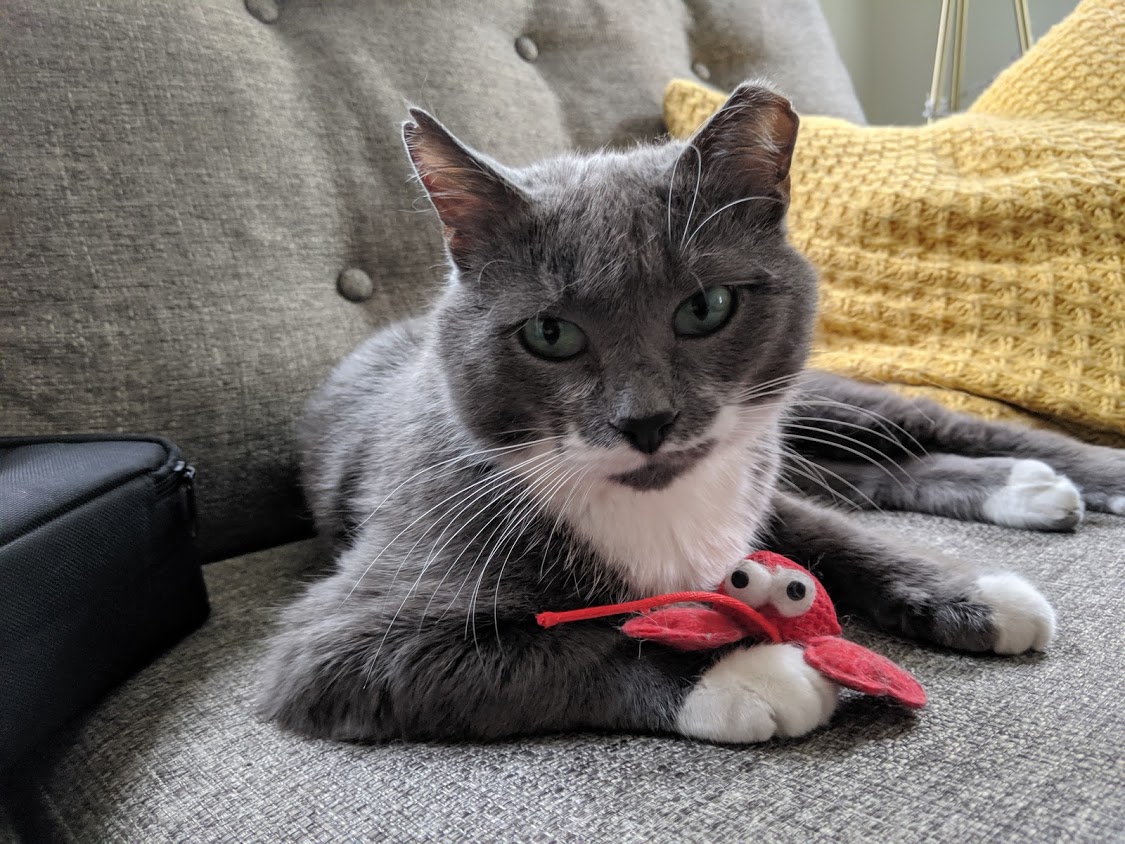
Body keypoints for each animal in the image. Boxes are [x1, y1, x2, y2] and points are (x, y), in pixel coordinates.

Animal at [258, 84, 1125, 747]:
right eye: (549, 334)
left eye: (705, 307)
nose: (646, 421)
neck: (660, 506)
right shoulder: (342, 642)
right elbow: (557, 645)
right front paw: (742, 674)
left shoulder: (755, 487)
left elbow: (834, 534)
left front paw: (975, 591)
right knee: (875, 473)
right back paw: (1028, 489)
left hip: (812, 403)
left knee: (912, 431)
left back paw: (1070, 475)